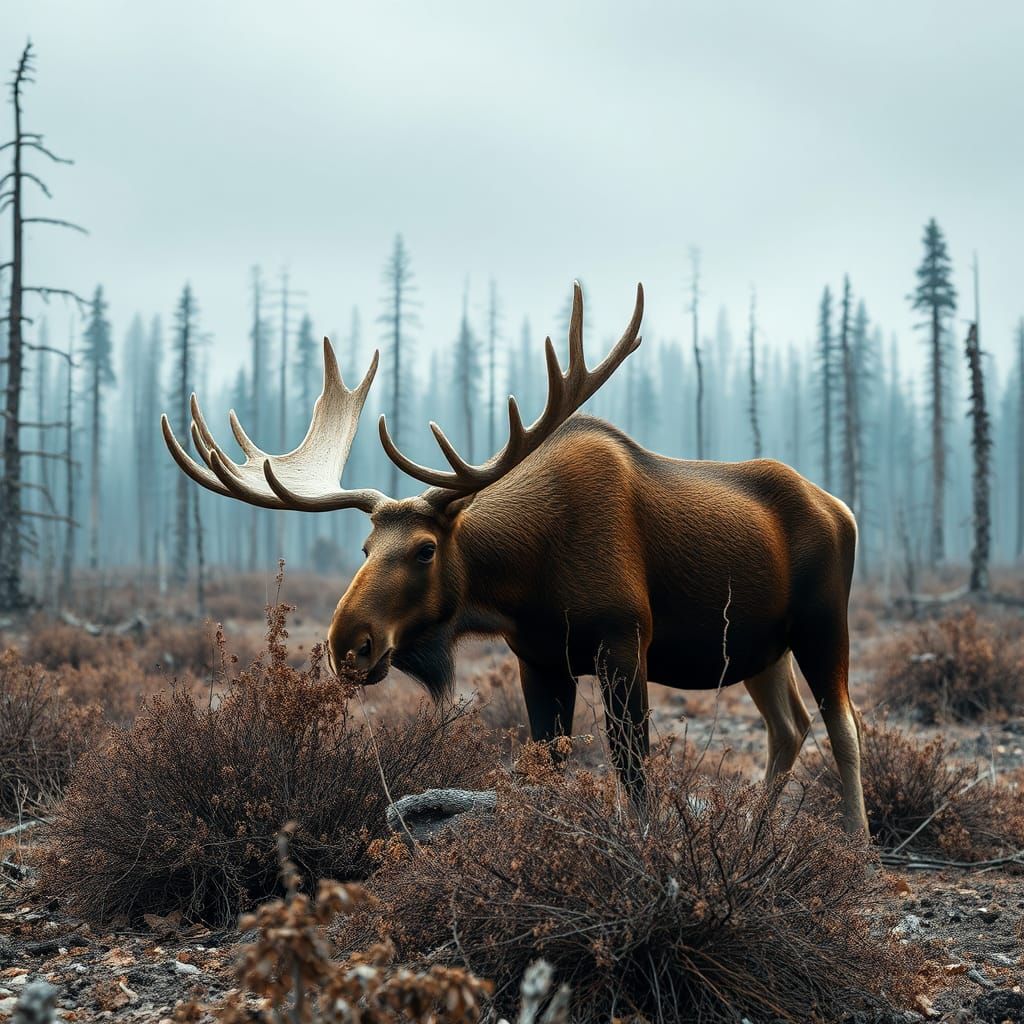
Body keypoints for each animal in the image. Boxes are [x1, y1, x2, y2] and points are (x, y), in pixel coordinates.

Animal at [161, 282, 869, 835]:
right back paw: (757, 831)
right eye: (365, 547)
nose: (348, 645)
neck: (522, 583)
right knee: (789, 726)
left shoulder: (624, 639)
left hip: (822, 624)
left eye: (425, 549)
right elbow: (548, 766)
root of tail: (844, 509)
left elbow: (634, 770)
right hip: (760, 649)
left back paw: (858, 848)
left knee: (843, 723)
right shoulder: (538, 657)